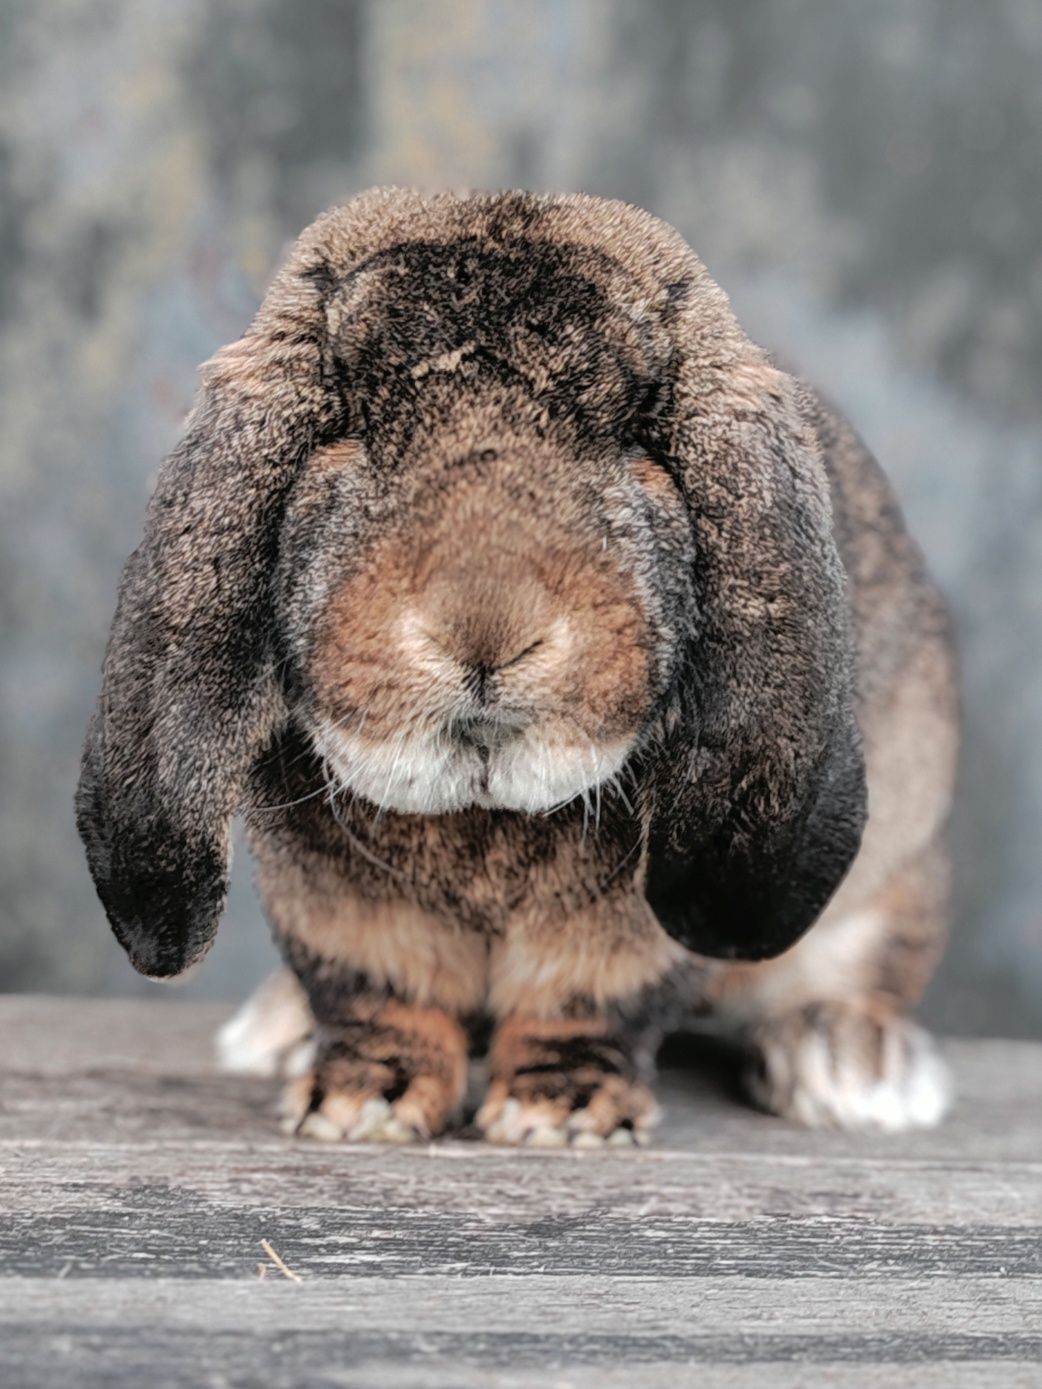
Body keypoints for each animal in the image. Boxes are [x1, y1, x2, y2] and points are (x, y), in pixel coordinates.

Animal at [81, 193, 961, 1150]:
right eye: (344, 427)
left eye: (640, 439)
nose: (485, 629)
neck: (482, 811)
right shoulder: (336, 911)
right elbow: (383, 1000)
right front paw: (358, 1104)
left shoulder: (632, 936)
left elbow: (585, 1008)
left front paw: (560, 1115)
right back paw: (278, 1031)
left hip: (895, 874)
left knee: (861, 973)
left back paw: (850, 1067)